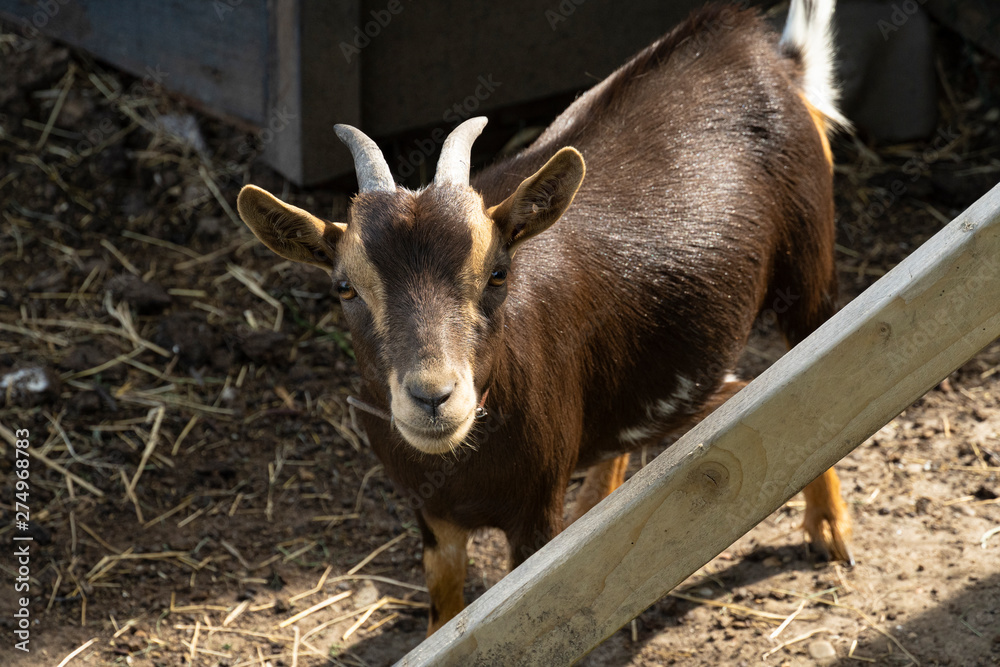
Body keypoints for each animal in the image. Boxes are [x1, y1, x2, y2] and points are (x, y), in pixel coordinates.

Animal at [236, 0, 853, 635]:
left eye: (498, 273)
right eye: (344, 288)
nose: (434, 397)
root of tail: (766, 52)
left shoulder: (535, 510)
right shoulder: (431, 512)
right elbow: (444, 607)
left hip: (809, 262)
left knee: (815, 353)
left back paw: (828, 530)